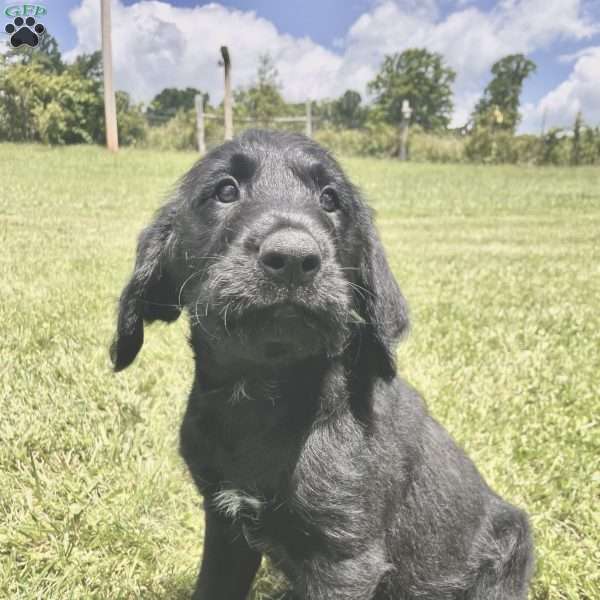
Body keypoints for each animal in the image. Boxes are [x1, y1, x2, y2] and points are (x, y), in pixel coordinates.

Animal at [110, 129, 532, 596]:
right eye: (225, 190)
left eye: (330, 199)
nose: (294, 258)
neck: (262, 394)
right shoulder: (225, 524)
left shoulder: (344, 558)